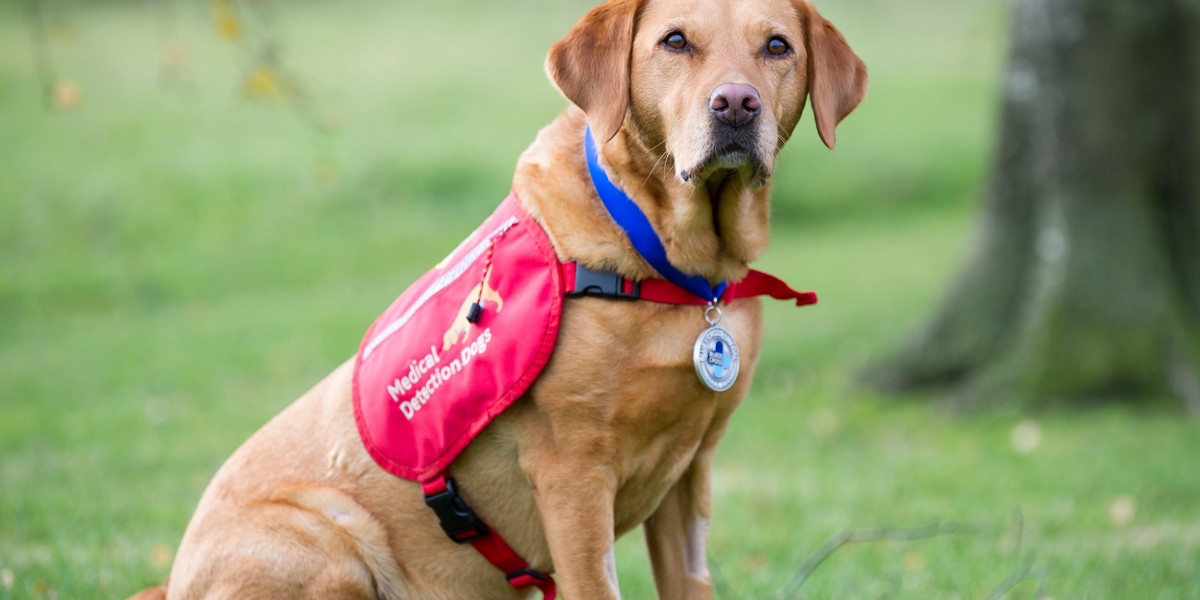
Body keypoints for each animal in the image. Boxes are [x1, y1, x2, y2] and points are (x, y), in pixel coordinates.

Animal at [131, 0, 864, 597]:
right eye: (675, 41)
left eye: (777, 46)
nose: (736, 104)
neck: (673, 263)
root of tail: (173, 581)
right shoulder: (572, 478)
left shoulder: (691, 476)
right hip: (330, 538)